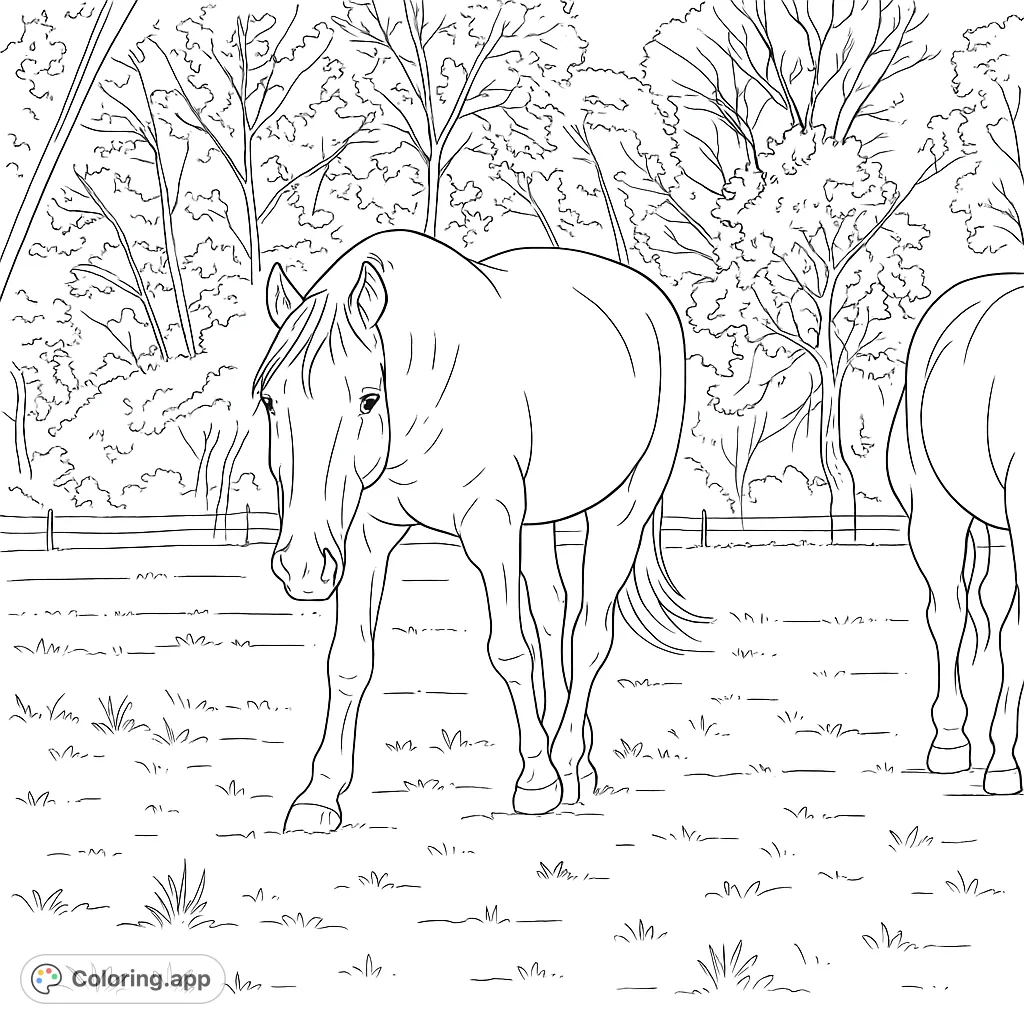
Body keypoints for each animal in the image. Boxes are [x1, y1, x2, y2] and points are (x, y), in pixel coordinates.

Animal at [253, 228, 706, 832]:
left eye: (368, 399)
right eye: (269, 399)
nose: (302, 566)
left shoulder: (490, 525)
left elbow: (509, 651)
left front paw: (537, 782)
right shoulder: (368, 535)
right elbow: (349, 660)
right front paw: (318, 797)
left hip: (623, 507)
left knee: (589, 632)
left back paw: (565, 761)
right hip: (538, 521)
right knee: (554, 613)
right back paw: (572, 758)